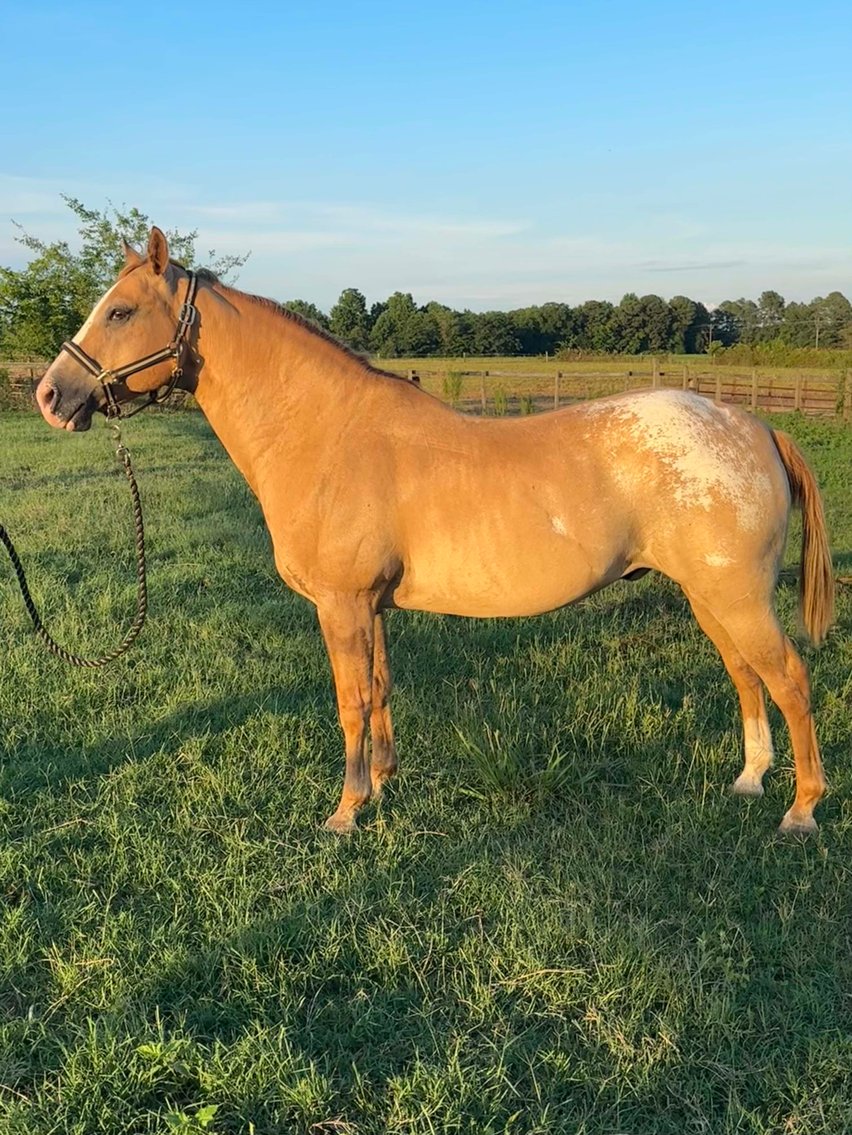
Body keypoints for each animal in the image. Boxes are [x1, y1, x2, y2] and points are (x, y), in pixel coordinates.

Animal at [34, 228, 835, 835]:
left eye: (120, 312)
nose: (50, 395)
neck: (325, 434)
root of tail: (754, 425)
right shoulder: (370, 608)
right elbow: (381, 690)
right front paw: (382, 785)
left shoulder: (342, 606)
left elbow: (350, 702)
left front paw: (345, 812)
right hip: (709, 598)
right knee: (746, 676)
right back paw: (750, 780)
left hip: (735, 598)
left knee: (789, 679)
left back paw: (801, 810)